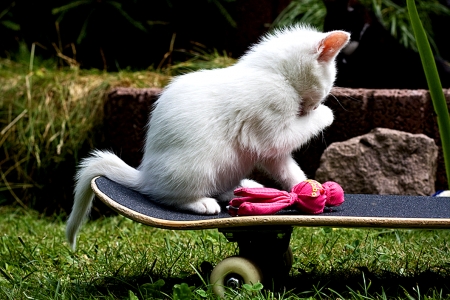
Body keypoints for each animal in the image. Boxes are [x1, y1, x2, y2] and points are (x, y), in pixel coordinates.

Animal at [65, 24, 350, 248]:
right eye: (326, 87)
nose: (315, 104)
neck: (274, 74)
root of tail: (145, 175)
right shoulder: (272, 129)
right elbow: (295, 132)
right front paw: (326, 114)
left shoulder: (268, 149)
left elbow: (287, 168)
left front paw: (305, 187)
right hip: (197, 165)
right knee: (164, 196)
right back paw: (201, 203)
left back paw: (245, 188)